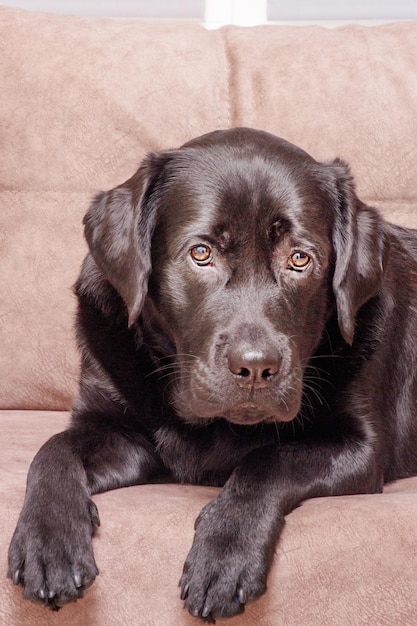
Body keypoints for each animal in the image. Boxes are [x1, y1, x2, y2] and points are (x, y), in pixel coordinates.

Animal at [6, 128, 416, 620]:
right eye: (201, 253)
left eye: (300, 259)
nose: (256, 367)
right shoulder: (116, 431)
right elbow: (53, 449)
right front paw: (48, 544)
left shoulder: (362, 447)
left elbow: (271, 459)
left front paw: (225, 553)